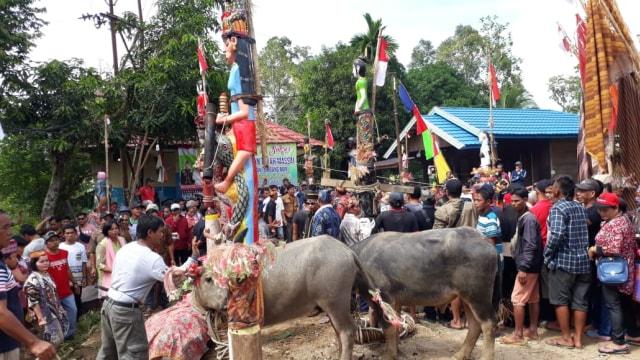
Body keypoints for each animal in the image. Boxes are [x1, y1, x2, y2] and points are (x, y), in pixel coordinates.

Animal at [191, 236, 390, 360]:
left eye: (227, 277)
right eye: (208, 279)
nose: (225, 303)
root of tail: (347, 251)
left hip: (336, 303)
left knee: (347, 332)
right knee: (341, 331)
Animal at [350, 228, 500, 360]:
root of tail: (485, 241)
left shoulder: (383, 299)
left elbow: (389, 328)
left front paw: (389, 355)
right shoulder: (396, 303)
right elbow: (397, 326)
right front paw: (397, 351)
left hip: (478, 296)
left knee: (489, 323)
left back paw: (485, 357)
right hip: (466, 298)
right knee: (475, 325)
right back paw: (460, 355)